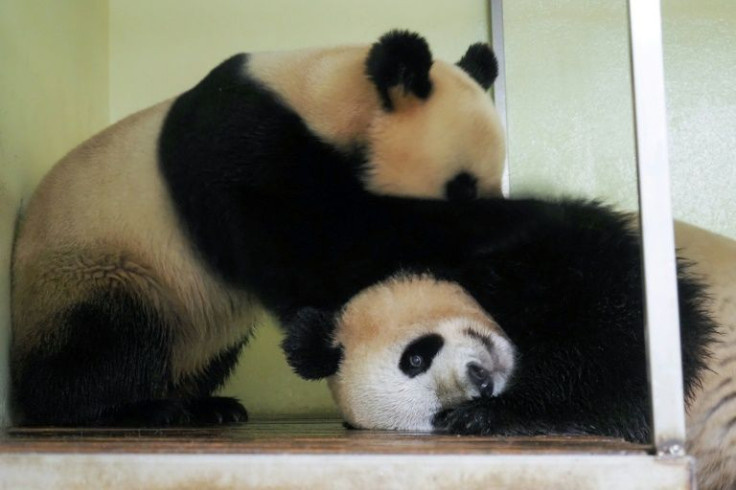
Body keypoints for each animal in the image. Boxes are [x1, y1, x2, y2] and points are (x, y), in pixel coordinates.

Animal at [11, 30, 508, 426]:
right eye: (462, 189)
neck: (327, 100)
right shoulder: (244, 147)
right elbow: (285, 247)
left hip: (198, 323)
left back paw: (206, 407)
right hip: (103, 269)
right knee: (108, 340)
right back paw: (124, 409)